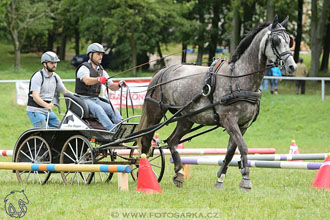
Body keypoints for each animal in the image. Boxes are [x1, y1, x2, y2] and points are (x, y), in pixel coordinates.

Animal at [137, 16, 296, 190]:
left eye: (289, 40)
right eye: (276, 40)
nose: (292, 66)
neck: (238, 78)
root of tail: (161, 72)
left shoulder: (243, 125)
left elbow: (230, 152)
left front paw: (220, 179)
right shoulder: (229, 120)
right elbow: (243, 147)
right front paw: (246, 180)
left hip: (186, 118)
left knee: (172, 141)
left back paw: (178, 174)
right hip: (155, 113)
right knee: (145, 140)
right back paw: (144, 172)